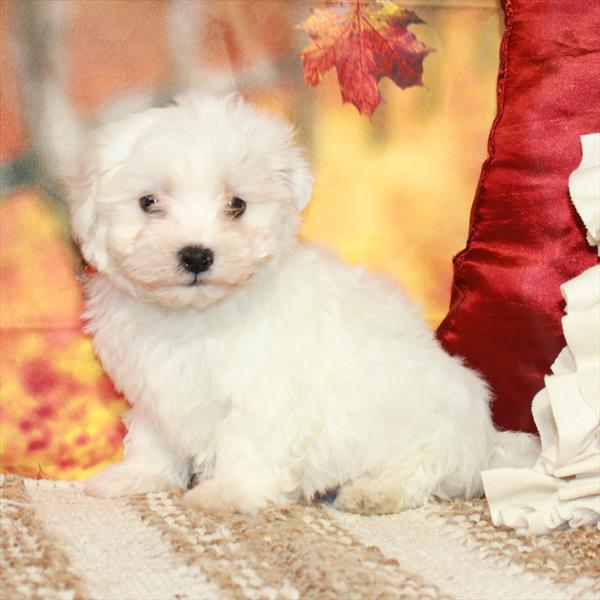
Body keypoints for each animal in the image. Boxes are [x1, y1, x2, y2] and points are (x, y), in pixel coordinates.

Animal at [70, 95, 540, 516]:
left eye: (237, 205)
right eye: (148, 202)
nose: (197, 256)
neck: (193, 316)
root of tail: (487, 441)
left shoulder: (263, 389)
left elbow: (246, 440)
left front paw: (230, 492)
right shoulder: (154, 386)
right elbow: (152, 435)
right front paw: (139, 474)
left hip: (430, 419)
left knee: (424, 469)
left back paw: (375, 492)